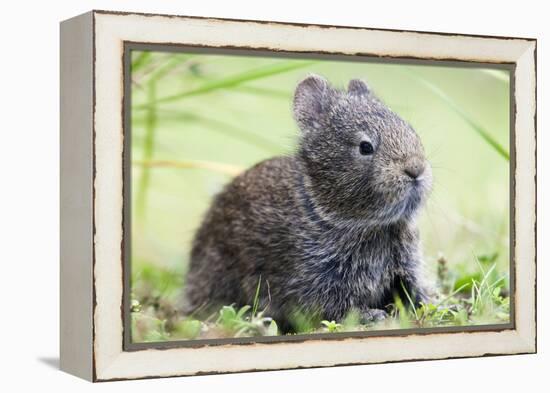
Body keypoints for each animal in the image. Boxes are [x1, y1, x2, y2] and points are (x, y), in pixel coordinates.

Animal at [183, 75, 434, 330]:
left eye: (410, 130)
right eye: (365, 147)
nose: (415, 169)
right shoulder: (317, 278)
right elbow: (334, 307)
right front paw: (372, 316)